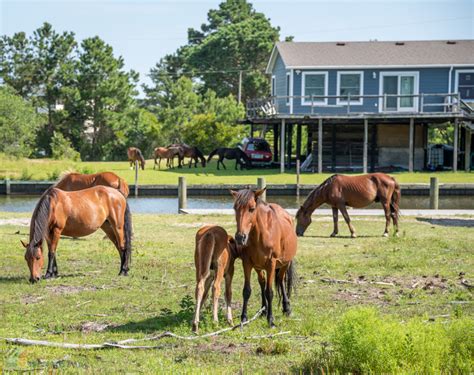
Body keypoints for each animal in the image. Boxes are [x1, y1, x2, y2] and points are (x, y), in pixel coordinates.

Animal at [230, 189, 296, 328]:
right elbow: (247, 291)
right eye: (235, 208)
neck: (260, 235)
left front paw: (271, 320)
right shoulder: (247, 263)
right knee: (262, 282)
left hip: (284, 264)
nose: (240, 237)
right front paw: (244, 319)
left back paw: (286, 308)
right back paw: (263, 310)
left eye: (251, 208)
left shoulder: (271, 264)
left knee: (280, 280)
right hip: (258, 267)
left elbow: (269, 292)